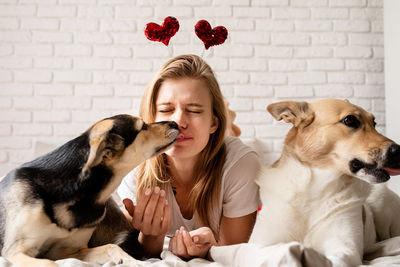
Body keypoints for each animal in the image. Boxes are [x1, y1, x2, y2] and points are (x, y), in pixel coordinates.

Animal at [0, 114, 178, 266]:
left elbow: (111, 247)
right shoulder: (15, 251)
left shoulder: (65, 251)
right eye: (143, 127)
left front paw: (131, 261)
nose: (174, 123)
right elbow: (50, 263)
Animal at [250, 99, 400, 266]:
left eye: (374, 123)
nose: (398, 150)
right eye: (350, 120)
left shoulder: (345, 247)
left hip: (381, 202)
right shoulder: (259, 243)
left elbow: (334, 260)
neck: (315, 188)